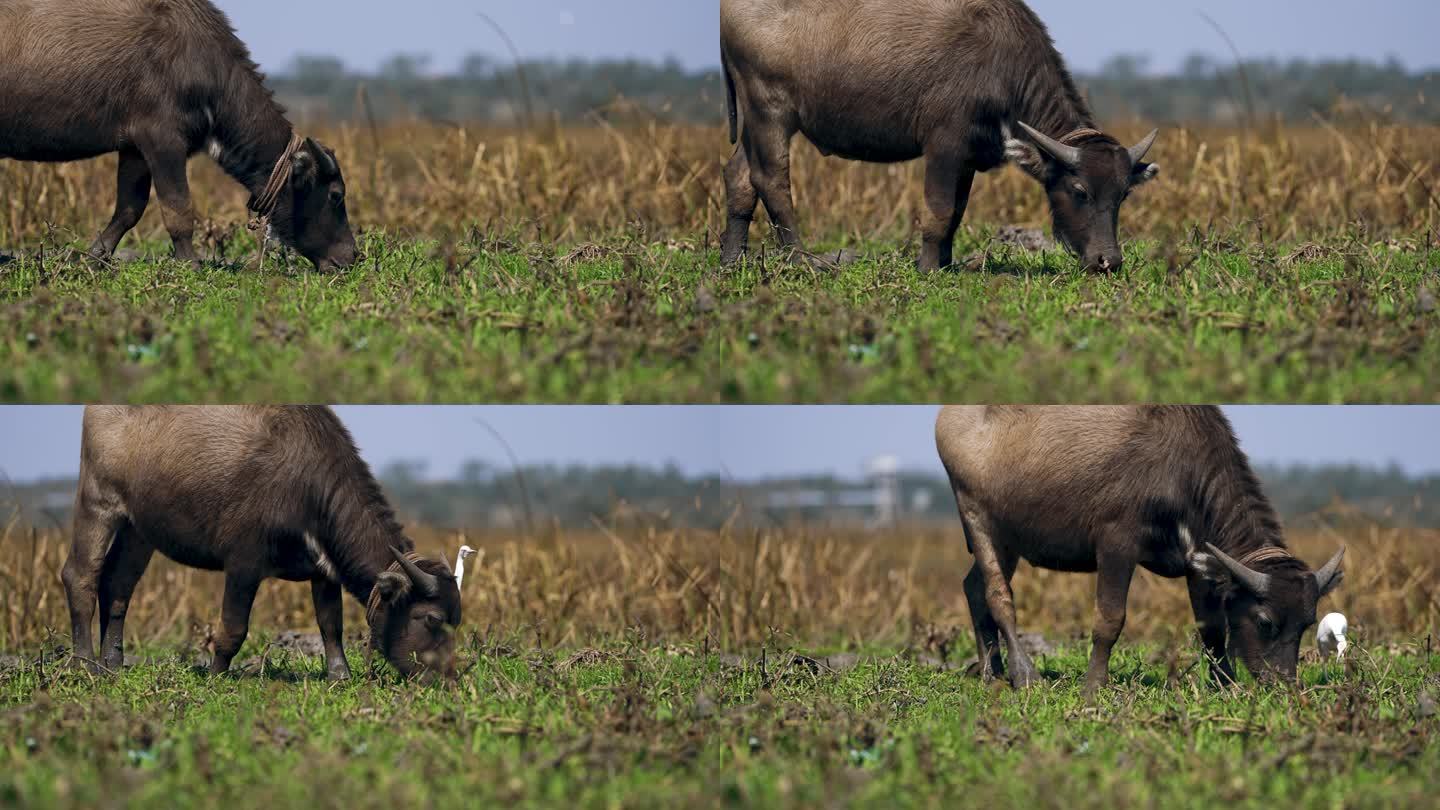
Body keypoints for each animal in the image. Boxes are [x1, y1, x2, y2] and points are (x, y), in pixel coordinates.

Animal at [0, 0, 357, 270]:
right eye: (336, 195)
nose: (353, 256)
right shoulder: (163, 139)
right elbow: (178, 208)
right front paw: (191, 264)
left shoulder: (134, 148)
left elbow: (129, 208)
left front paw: (94, 258)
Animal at [64, 403, 457, 674]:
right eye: (431, 619)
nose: (447, 676)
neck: (306, 486)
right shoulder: (243, 564)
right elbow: (234, 628)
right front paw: (216, 674)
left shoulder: (323, 571)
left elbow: (331, 624)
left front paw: (340, 675)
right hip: (97, 502)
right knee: (80, 576)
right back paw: (85, 665)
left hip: (138, 528)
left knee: (117, 585)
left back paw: (113, 664)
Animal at [720, 0, 1157, 270]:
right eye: (1079, 190)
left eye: (1123, 194)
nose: (1108, 262)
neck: (1000, 64)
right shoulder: (944, 145)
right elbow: (940, 211)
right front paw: (929, 268)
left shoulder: (968, 156)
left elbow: (958, 212)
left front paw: (946, 263)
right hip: (770, 111)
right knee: (772, 180)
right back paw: (801, 261)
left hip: (754, 122)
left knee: (739, 175)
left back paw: (731, 260)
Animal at [938, 406, 1342, 691]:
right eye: (1265, 621)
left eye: (1307, 623)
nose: (1284, 687)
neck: (1178, 469)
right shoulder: (1116, 544)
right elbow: (1109, 620)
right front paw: (1093, 687)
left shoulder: (1199, 559)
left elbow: (1211, 627)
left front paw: (1225, 685)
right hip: (977, 518)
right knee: (997, 595)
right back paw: (1024, 675)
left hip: (1009, 539)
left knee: (973, 587)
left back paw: (990, 672)